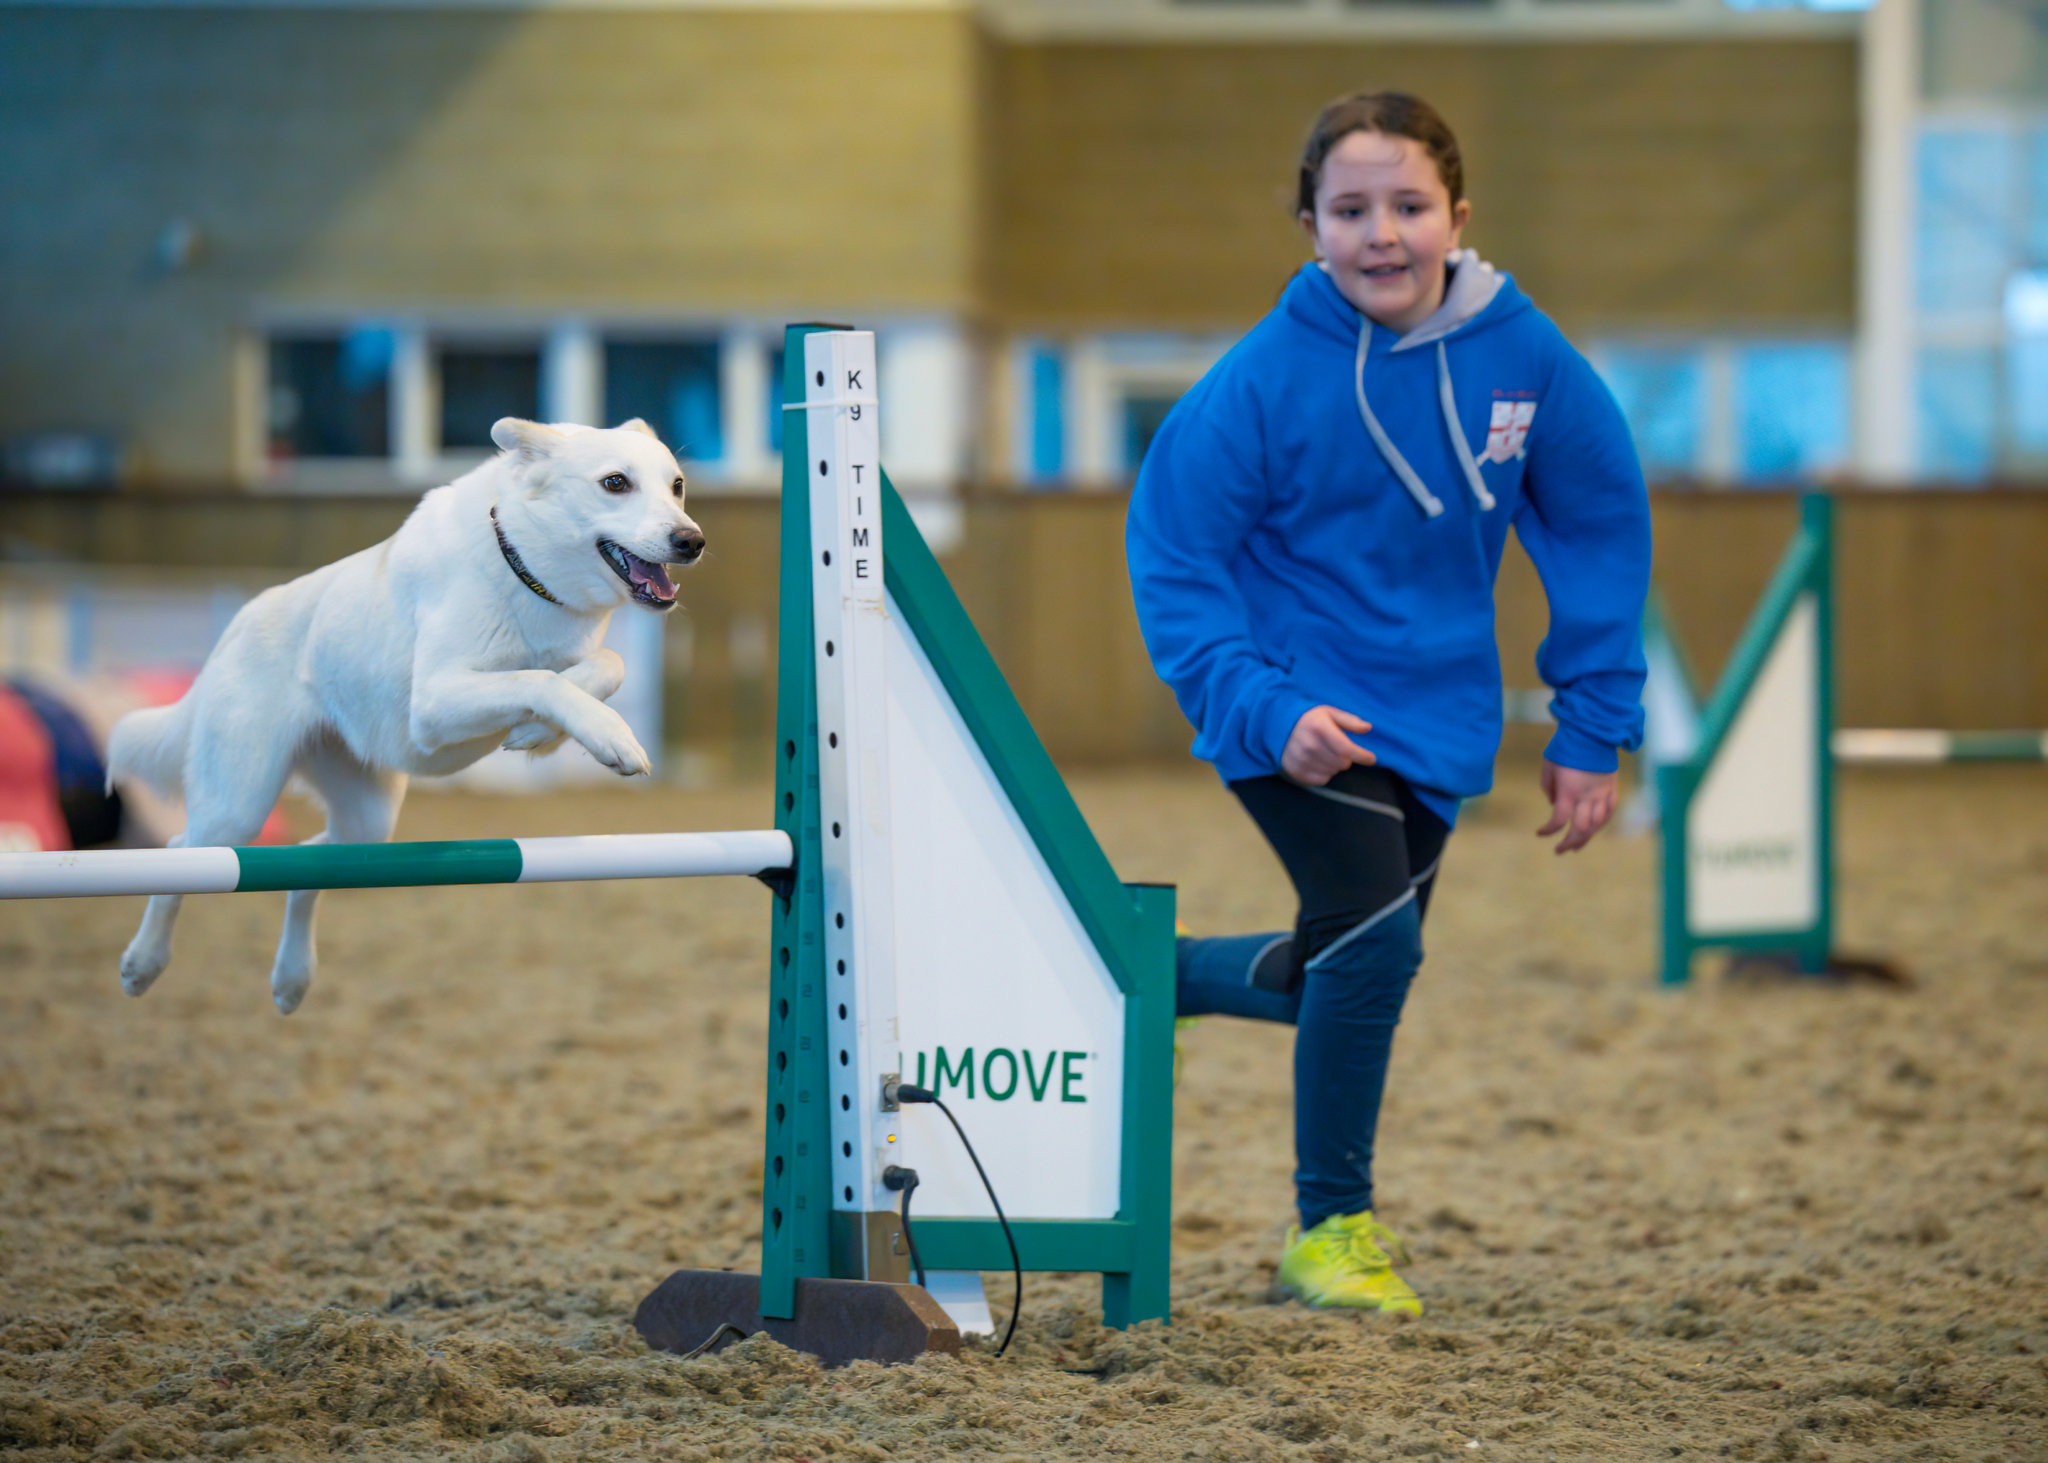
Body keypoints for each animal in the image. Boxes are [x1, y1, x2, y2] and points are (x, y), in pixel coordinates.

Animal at [105, 415, 704, 1008]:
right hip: (238, 802)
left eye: (676, 486)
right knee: (180, 849)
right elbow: (538, 679)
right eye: (615, 483)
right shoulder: (435, 702)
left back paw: (292, 978)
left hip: (366, 820)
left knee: (307, 863)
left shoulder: (569, 657)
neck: (524, 567)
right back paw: (142, 963)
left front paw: (538, 731)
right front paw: (608, 736)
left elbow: (603, 668)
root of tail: (235, 627)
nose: (692, 541)